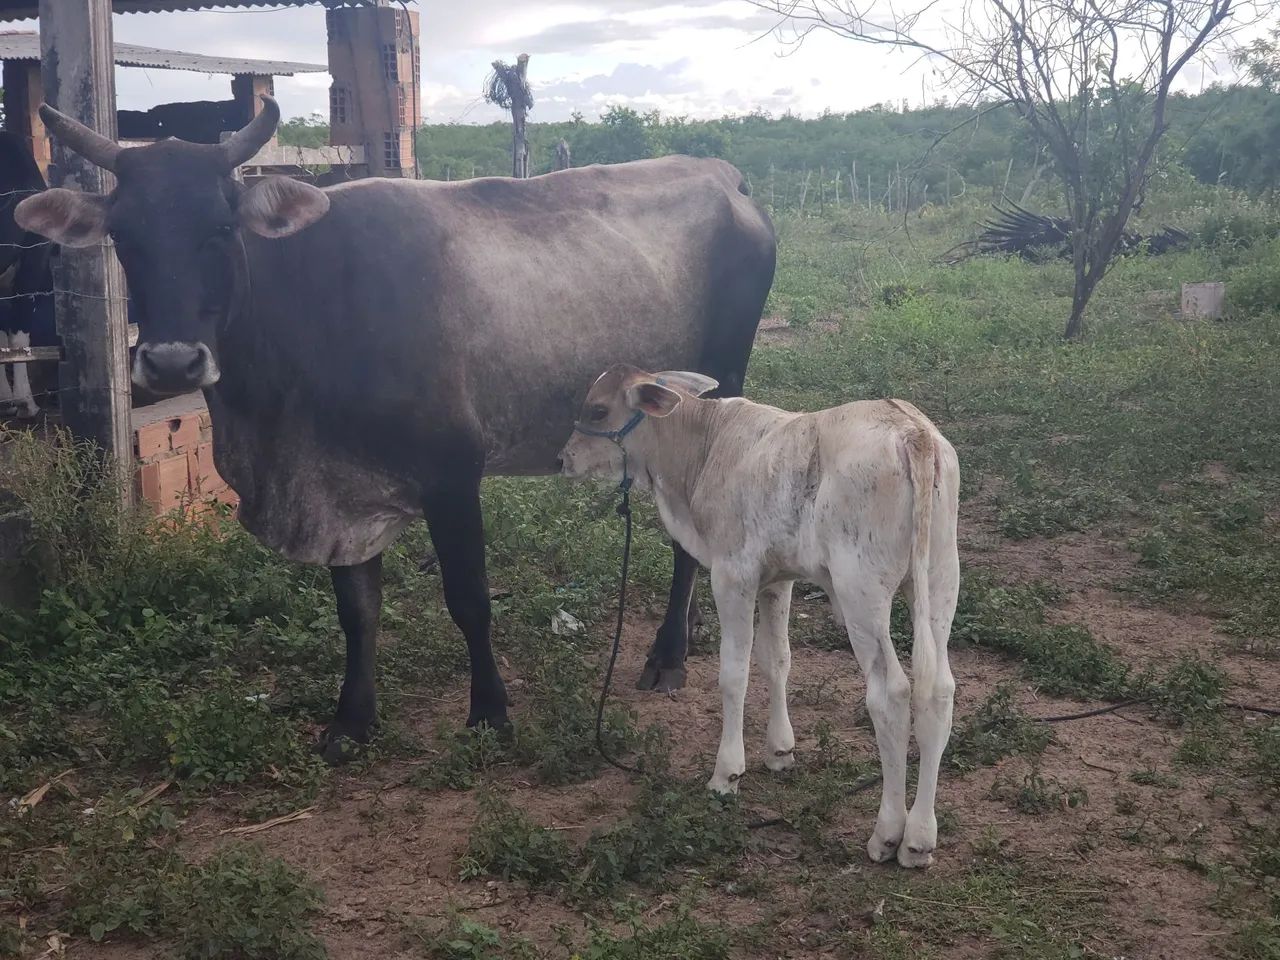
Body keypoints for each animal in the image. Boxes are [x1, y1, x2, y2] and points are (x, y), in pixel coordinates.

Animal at [15, 98, 777, 760]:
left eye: (221, 227)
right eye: (124, 235)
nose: (172, 361)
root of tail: (725, 175)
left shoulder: (452, 473)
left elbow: (469, 601)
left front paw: (490, 712)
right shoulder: (336, 490)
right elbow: (358, 610)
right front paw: (352, 721)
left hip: (714, 386)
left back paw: (668, 655)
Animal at [558, 366, 960, 868]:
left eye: (597, 409)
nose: (562, 458)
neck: (704, 448)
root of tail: (912, 431)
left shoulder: (733, 575)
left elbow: (735, 673)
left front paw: (727, 774)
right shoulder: (777, 580)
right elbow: (777, 661)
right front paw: (780, 750)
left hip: (862, 594)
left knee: (891, 693)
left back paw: (889, 834)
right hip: (941, 581)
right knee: (938, 691)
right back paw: (921, 836)